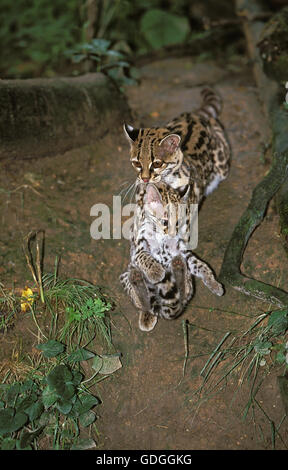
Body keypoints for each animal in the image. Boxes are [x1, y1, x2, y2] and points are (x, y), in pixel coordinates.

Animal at [119, 182, 223, 332]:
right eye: (165, 222)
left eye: (178, 222)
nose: (173, 234)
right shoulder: (138, 249)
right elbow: (145, 258)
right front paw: (156, 271)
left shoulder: (182, 251)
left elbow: (201, 265)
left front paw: (213, 282)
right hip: (126, 275)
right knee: (143, 302)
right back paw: (147, 312)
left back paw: (182, 278)